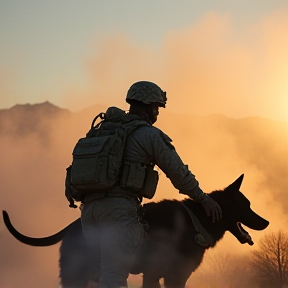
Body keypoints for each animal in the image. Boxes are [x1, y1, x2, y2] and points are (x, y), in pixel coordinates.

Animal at [2, 176, 268, 288]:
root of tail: (70, 228)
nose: (266, 222)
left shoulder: (156, 275)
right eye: (246, 206)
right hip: (76, 275)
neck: (197, 220)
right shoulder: (172, 276)